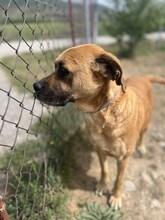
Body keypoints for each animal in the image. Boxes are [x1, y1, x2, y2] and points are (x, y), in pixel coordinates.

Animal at [33, 44, 165, 210]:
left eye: (64, 70)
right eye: (55, 67)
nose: (34, 86)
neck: (104, 113)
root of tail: (143, 78)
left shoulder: (123, 160)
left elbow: (119, 180)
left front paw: (116, 197)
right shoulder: (99, 150)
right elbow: (104, 170)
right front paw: (103, 185)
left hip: (146, 123)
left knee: (143, 135)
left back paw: (141, 147)